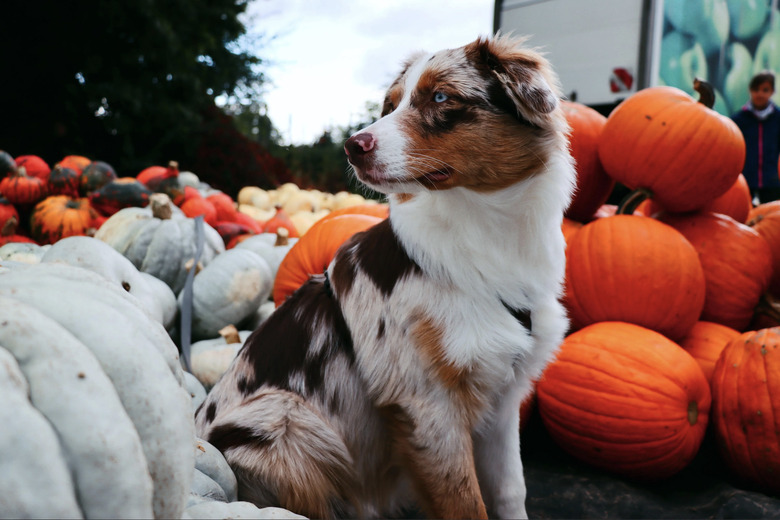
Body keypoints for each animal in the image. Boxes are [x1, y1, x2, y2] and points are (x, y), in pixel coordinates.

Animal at [195, 34, 572, 516]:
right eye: (391, 104)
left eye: (441, 97)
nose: (352, 146)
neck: (489, 232)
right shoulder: (425, 403)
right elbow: (466, 503)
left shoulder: (504, 397)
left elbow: (509, 490)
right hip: (287, 421)